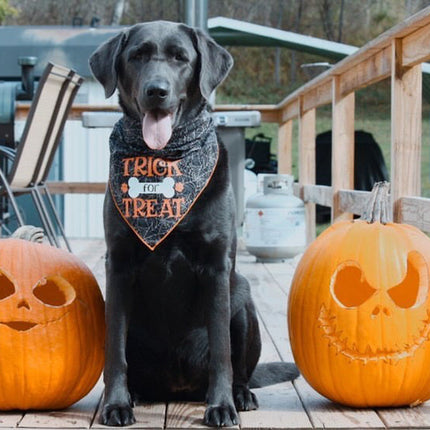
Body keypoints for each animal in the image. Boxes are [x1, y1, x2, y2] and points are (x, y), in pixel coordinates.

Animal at [90, 22, 298, 426]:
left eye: (180, 58)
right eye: (137, 56)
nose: (157, 90)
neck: (162, 163)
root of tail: (178, 388)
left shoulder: (216, 267)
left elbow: (221, 351)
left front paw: (221, 406)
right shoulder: (118, 266)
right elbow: (115, 351)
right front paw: (116, 403)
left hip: (242, 295)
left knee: (239, 365)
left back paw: (240, 394)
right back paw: (136, 394)